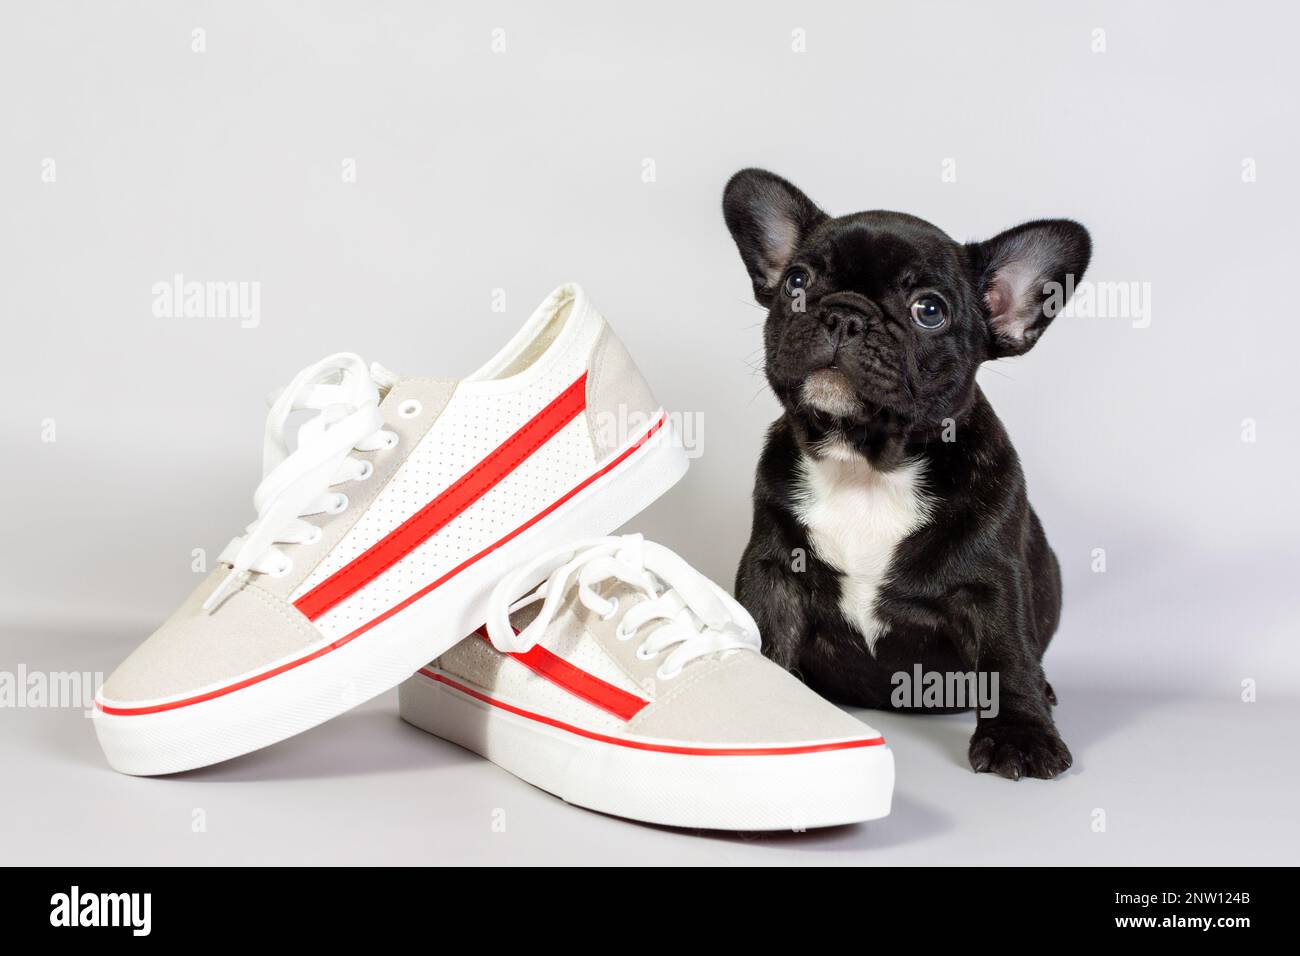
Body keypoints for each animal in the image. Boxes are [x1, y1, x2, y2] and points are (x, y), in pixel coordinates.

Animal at [722, 167, 1086, 780]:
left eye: (929, 311)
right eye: (797, 280)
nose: (845, 313)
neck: (866, 465)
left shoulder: (992, 584)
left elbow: (1007, 656)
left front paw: (1021, 735)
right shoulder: (773, 572)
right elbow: (765, 637)